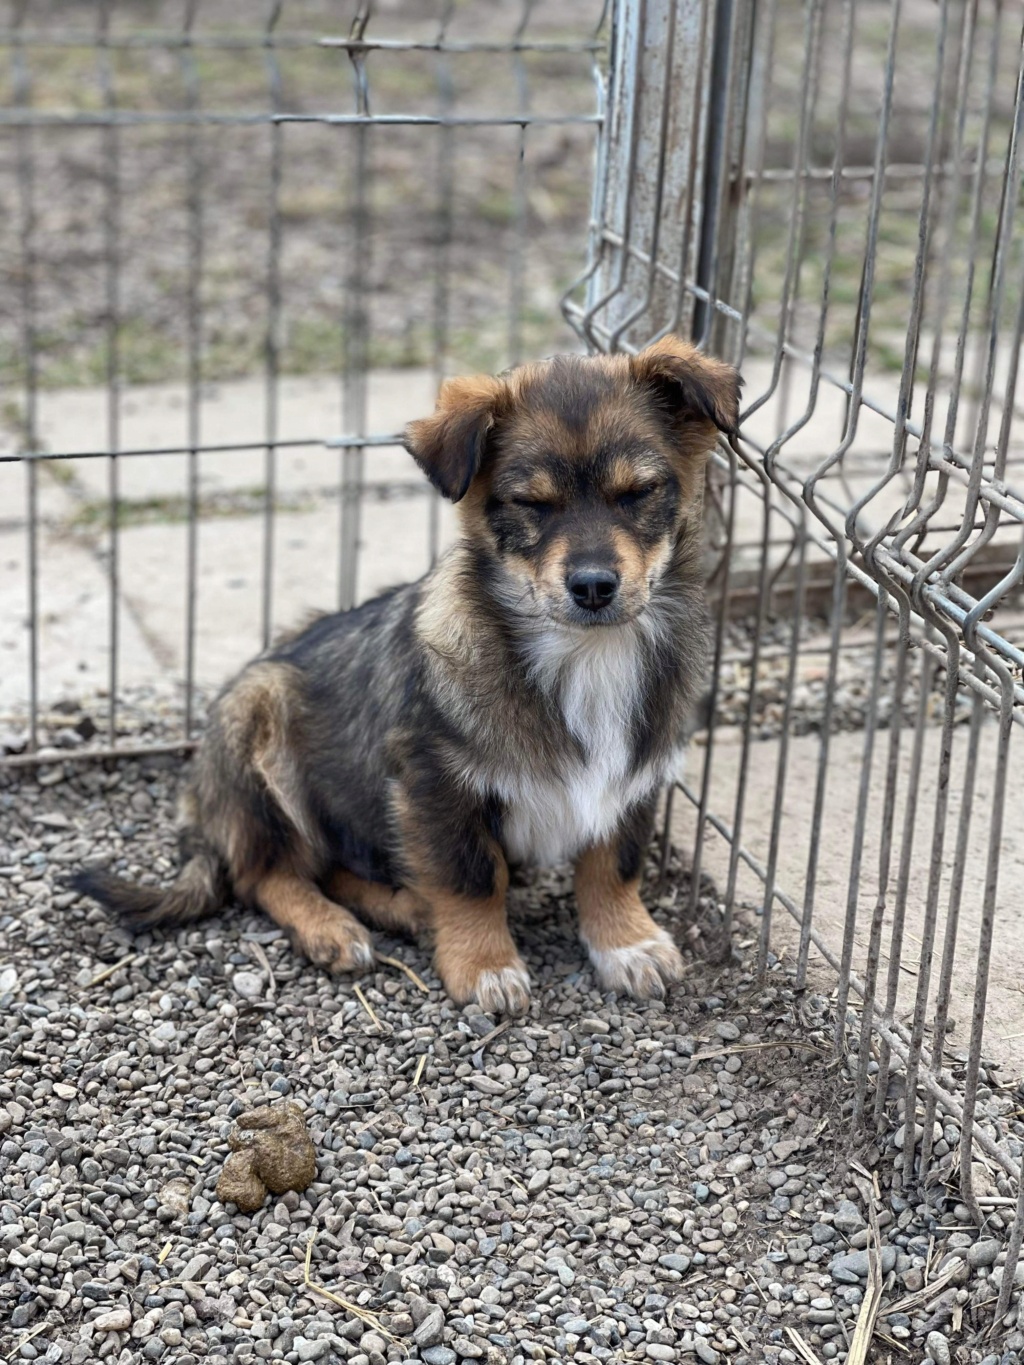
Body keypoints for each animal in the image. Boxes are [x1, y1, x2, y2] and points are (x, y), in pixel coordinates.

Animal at [76, 333, 742, 1015]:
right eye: (531, 504)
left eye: (637, 493)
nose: (592, 586)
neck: (586, 655)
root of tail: (203, 806)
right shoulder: (434, 783)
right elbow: (473, 878)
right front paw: (485, 965)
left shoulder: (636, 776)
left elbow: (614, 865)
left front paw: (626, 944)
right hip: (258, 729)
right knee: (267, 873)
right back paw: (334, 928)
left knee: (334, 866)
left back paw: (402, 906)